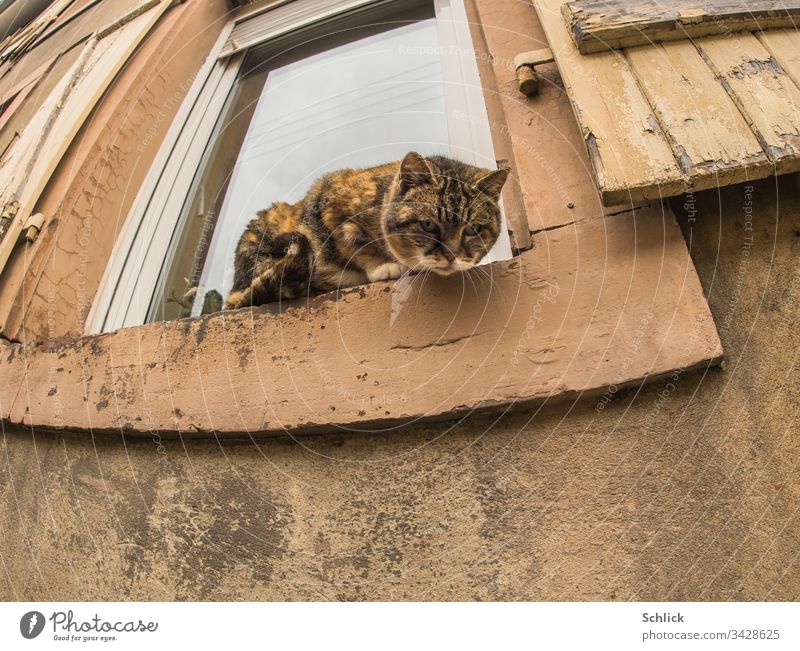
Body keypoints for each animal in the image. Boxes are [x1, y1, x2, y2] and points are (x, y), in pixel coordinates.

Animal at [223, 152, 512, 310]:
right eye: (428, 224)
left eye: (473, 228)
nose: (452, 255)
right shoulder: (330, 205)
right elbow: (355, 243)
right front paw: (383, 266)